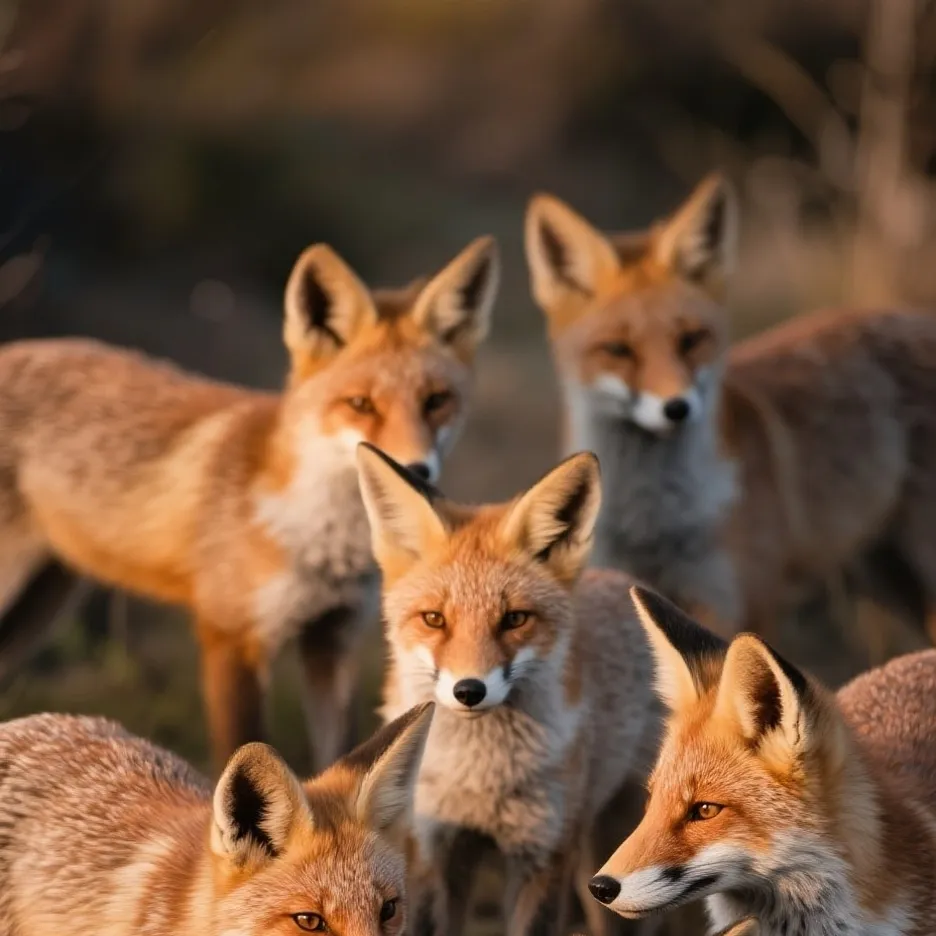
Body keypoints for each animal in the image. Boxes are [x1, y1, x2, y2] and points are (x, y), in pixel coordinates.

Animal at [0, 236, 498, 770]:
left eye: (436, 401)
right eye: (360, 404)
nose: (415, 471)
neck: (321, 543)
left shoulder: (332, 639)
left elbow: (341, 752)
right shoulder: (231, 638)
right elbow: (239, 749)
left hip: (40, 603)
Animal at [355, 443, 661, 936]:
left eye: (515, 619)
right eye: (434, 619)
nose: (469, 690)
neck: (481, 780)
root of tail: (626, 582)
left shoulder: (541, 855)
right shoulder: (434, 850)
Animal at [524, 175, 936, 640]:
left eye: (690, 340)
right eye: (617, 350)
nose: (676, 408)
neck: (655, 521)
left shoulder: (742, 604)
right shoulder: (623, 583)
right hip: (887, 579)